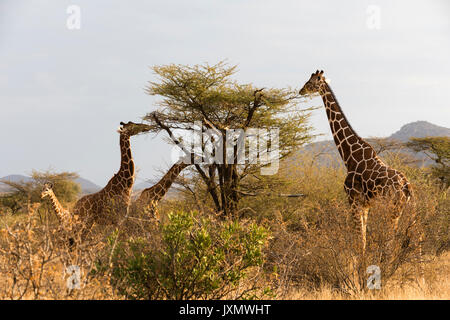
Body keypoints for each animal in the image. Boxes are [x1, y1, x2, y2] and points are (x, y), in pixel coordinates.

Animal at [298, 70, 412, 255]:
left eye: (310, 82)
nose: (300, 91)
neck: (349, 157)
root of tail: (407, 186)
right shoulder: (365, 204)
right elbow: (363, 238)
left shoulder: (353, 199)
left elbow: (359, 238)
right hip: (401, 209)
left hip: (392, 208)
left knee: (391, 242)